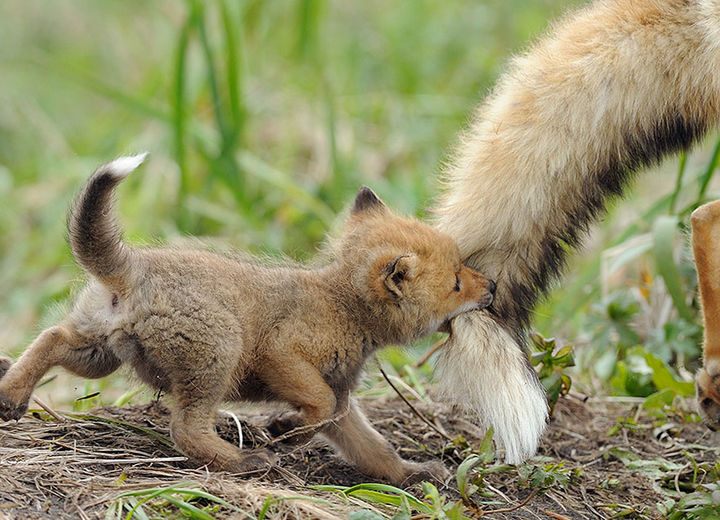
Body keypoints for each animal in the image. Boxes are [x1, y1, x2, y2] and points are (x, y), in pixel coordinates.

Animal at [0, 154, 496, 485]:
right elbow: (315, 405)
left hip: (98, 352)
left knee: (50, 336)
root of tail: (134, 265)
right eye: (456, 282)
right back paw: (242, 463)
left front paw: (413, 473)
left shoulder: (342, 402)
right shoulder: (283, 356)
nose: (492, 286)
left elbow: (374, 450)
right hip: (217, 354)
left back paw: (11, 394)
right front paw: (284, 432)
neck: (342, 306)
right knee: (185, 429)